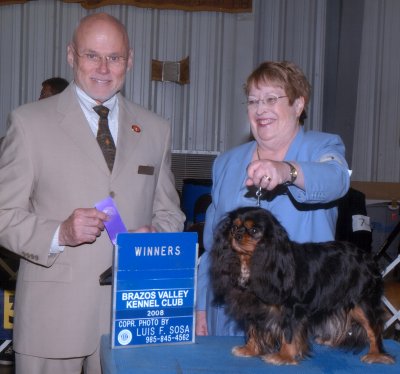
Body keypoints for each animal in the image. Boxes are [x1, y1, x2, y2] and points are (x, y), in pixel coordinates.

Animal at [211, 205, 396, 366]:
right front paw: (250, 349)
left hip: (362, 302)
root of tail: (368, 257)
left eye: (255, 231)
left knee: (374, 328)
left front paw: (283, 357)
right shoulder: (255, 307)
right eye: (233, 228)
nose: (237, 234)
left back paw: (376, 355)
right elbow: (254, 329)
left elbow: (288, 334)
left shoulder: (292, 308)